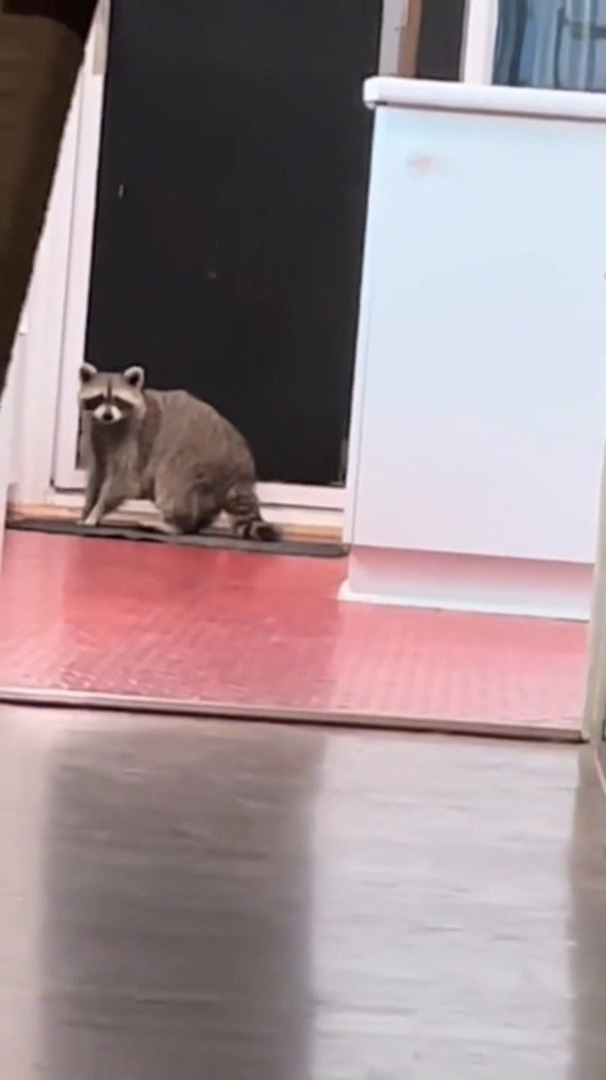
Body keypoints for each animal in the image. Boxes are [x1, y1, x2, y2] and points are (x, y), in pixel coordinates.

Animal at [77, 363, 280, 541]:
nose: (108, 415)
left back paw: (176, 525)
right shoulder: (95, 435)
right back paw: (193, 525)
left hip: (200, 461)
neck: (108, 425)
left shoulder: (134, 439)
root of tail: (241, 467)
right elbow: (97, 474)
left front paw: (96, 511)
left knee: (171, 481)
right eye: (99, 398)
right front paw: (88, 508)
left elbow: (125, 481)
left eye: (118, 400)